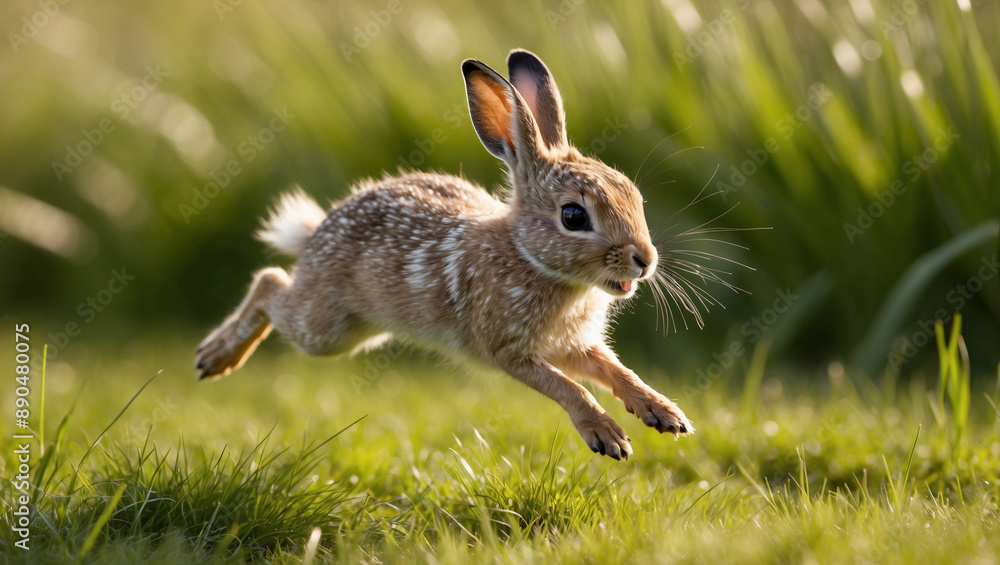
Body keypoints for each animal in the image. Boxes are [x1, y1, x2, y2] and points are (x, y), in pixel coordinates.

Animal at [195, 49, 693, 460]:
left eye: (634, 196)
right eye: (573, 216)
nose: (644, 259)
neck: (530, 258)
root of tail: (317, 232)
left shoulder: (574, 345)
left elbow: (616, 371)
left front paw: (665, 414)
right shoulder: (508, 350)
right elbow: (570, 388)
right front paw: (606, 436)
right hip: (326, 330)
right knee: (270, 284)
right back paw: (214, 358)